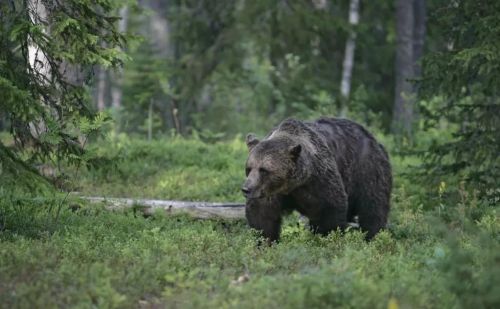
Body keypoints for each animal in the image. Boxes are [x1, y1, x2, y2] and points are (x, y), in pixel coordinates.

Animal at [241, 116, 390, 242]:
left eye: (263, 170)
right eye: (249, 168)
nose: (246, 189)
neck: (293, 185)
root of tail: (375, 140)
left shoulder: (319, 180)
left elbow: (330, 211)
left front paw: (325, 238)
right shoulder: (270, 192)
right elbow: (262, 217)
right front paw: (265, 242)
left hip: (367, 170)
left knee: (373, 208)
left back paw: (372, 237)